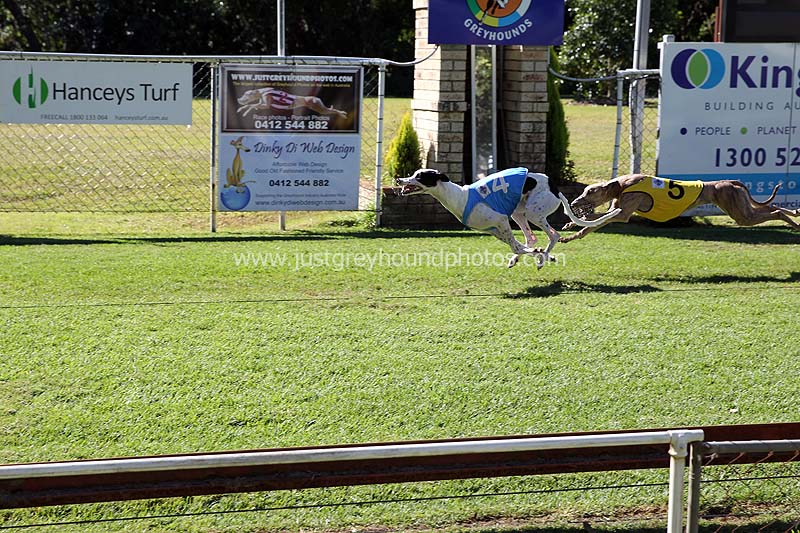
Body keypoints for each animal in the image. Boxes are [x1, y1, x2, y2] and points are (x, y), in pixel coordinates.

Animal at [396, 168, 621, 268]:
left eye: (419, 176)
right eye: (413, 173)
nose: (398, 179)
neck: (459, 197)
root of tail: (555, 188)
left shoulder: (501, 221)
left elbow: (517, 246)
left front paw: (539, 255)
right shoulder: (496, 231)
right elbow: (518, 246)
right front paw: (534, 255)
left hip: (533, 212)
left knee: (553, 235)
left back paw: (542, 258)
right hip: (518, 213)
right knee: (531, 237)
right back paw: (537, 256)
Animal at [560, 174, 800, 242]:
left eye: (589, 192)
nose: (574, 203)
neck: (622, 185)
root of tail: (730, 182)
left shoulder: (624, 213)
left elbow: (597, 219)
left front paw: (575, 222)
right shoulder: (618, 210)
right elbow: (591, 226)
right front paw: (571, 230)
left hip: (740, 213)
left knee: (776, 211)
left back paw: (795, 223)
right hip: (743, 208)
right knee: (775, 207)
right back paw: (795, 214)